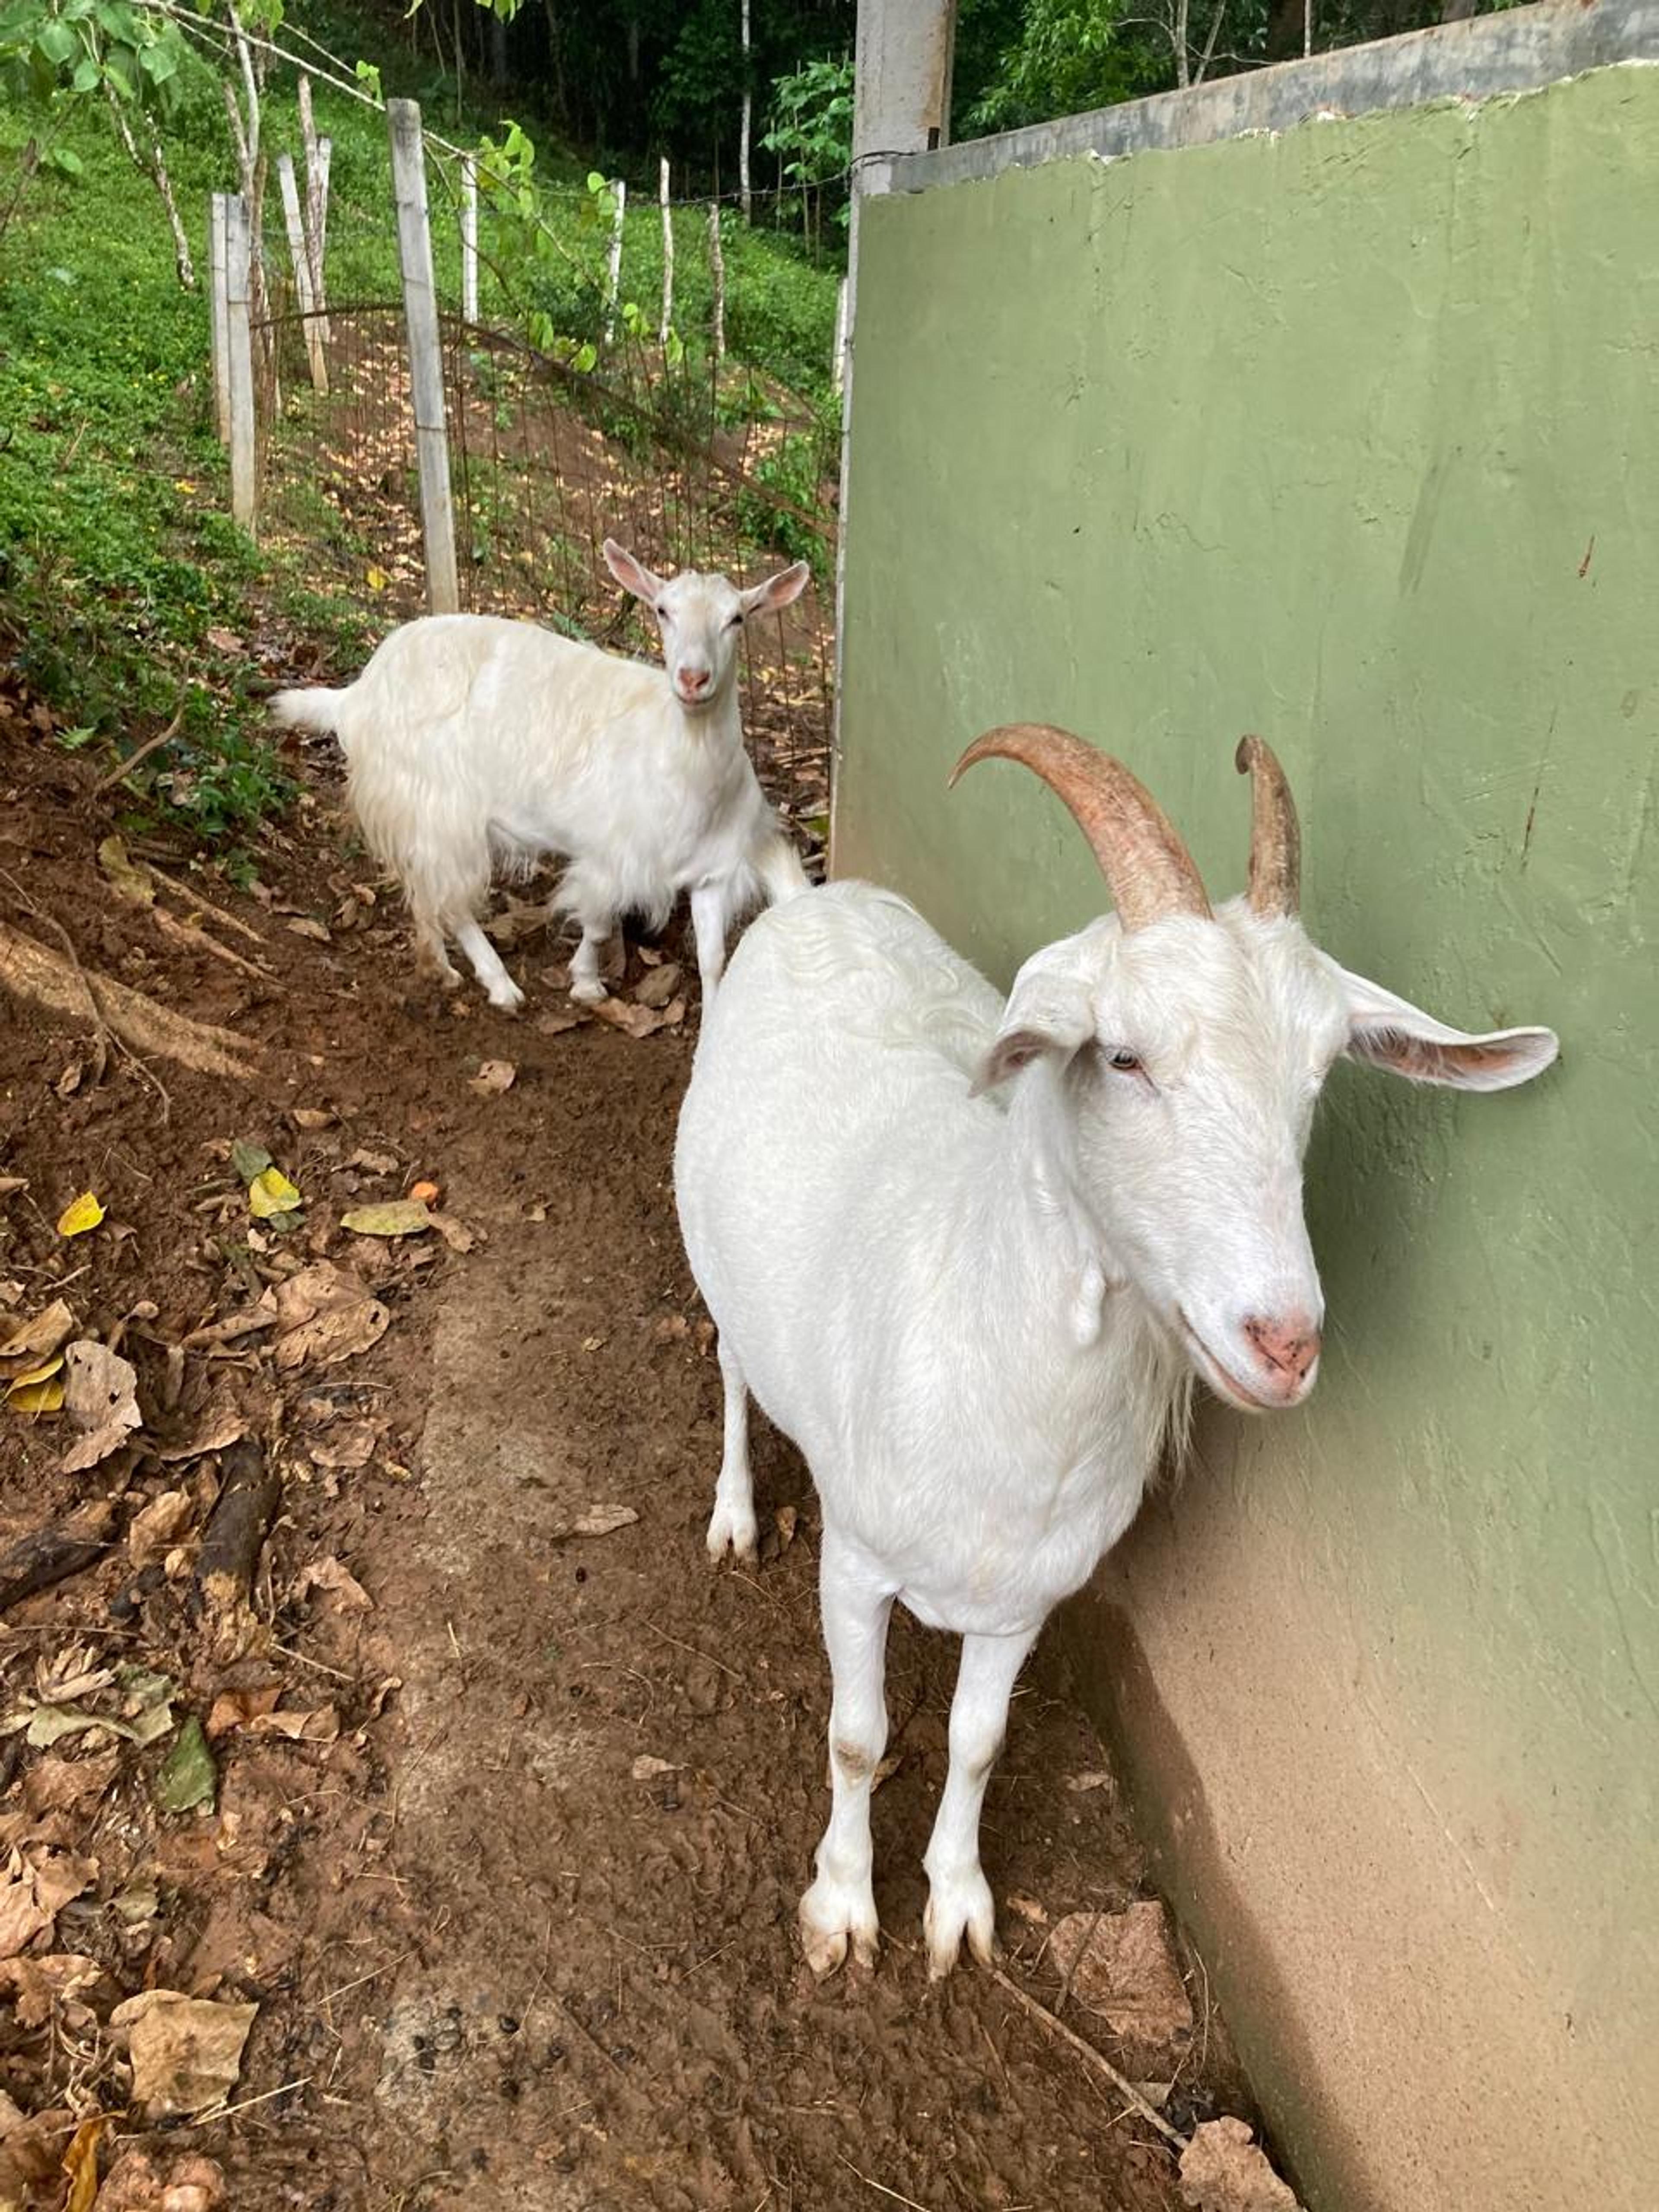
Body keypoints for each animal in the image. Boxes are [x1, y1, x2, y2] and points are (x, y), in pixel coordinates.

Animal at [268, 542, 811, 1012]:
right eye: (662, 611)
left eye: (737, 618)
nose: (693, 679)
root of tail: (357, 692)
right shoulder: (611, 853)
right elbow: (598, 924)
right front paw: (586, 982)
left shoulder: (713, 873)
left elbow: (713, 960)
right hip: (436, 802)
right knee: (450, 898)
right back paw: (496, 983)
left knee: (429, 890)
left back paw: (442, 966)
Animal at [674, 726, 1558, 1979]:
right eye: (1123, 1058)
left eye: (1323, 1072)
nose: (1284, 1339)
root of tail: (814, 899)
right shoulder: (854, 1560)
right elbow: (856, 1735)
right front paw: (842, 1907)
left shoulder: (1028, 1600)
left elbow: (978, 1739)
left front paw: (957, 1907)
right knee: (735, 1372)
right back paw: (735, 1514)